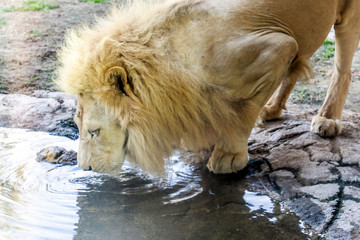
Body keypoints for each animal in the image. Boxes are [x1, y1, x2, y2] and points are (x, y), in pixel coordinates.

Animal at [56, 0, 360, 174]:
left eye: (94, 132)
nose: (86, 168)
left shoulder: (278, 46)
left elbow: (243, 114)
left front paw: (228, 156)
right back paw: (272, 110)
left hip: (346, 17)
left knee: (342, 69)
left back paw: (327, 118)